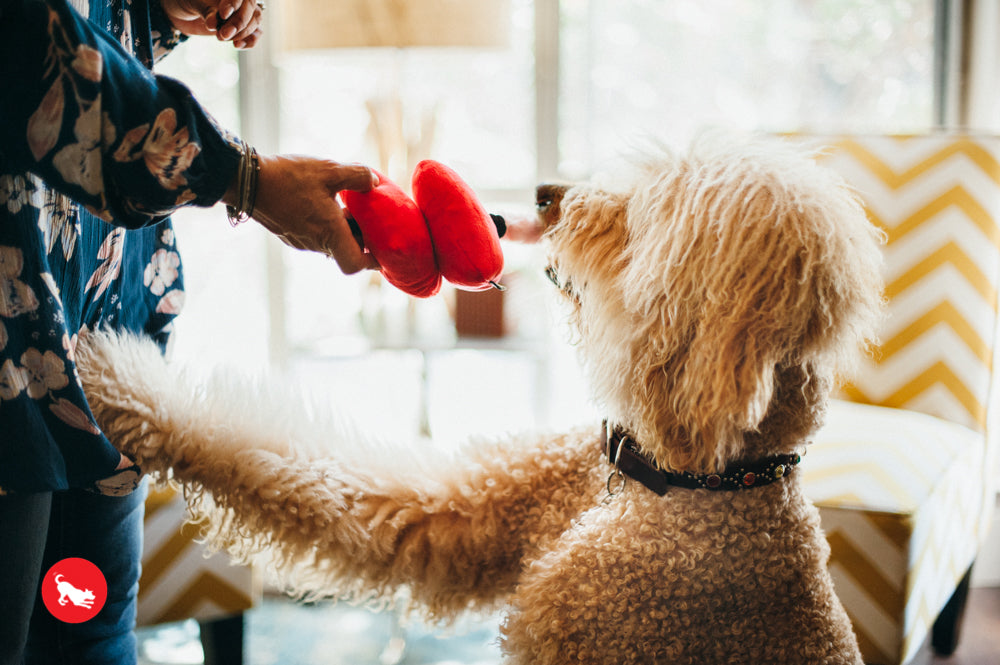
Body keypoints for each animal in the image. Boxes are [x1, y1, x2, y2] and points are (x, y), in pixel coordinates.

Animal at [76, 136, 884, 664]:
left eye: (646, 210)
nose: (545, 194)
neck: (673, 483)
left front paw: (108, 375)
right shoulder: (461, 513)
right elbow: (301, 469)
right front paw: (119, 380)